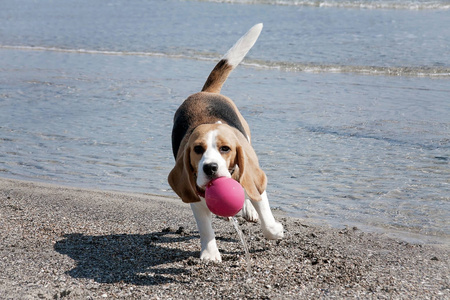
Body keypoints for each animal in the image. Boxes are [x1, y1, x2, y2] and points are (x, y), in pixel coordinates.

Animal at [167, 24, 284, 262]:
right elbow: (205, 227)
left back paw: (249, 210)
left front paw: (275, 230)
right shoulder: (195, 196)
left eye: (225, 149)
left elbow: (265, 216)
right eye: (197, 149)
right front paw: (210, 253)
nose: (210, 168)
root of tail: (206, 92)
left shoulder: (255, 178)